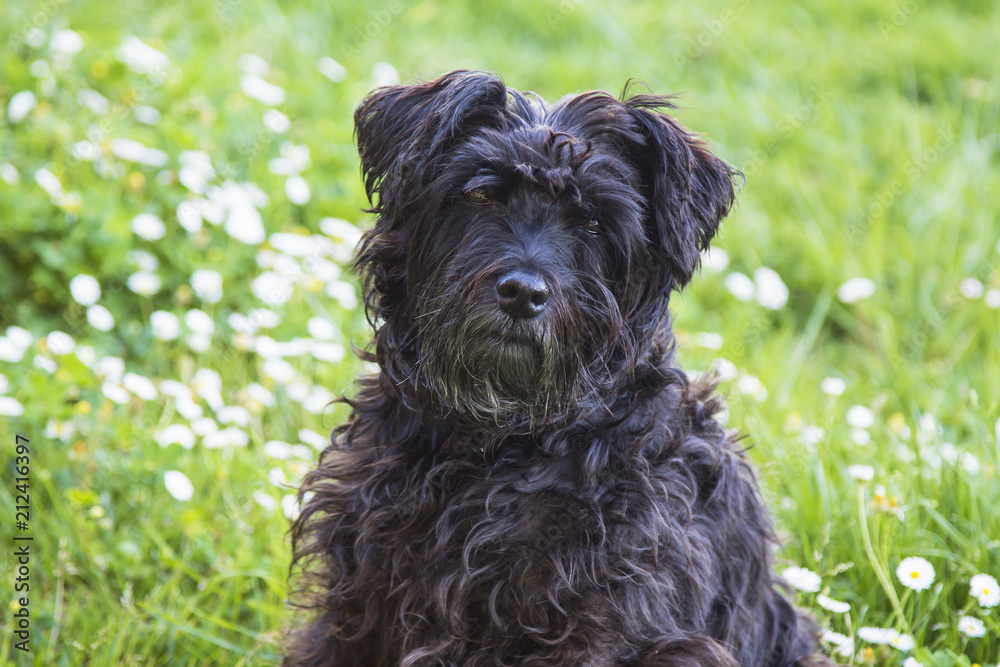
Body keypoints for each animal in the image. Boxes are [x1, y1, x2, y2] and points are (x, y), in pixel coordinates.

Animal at [284, 70, 828, 664]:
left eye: (592, 221)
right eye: (481, 193)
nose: (523, 293)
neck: (500, 440)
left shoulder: (606, 626)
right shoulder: (359, 603)